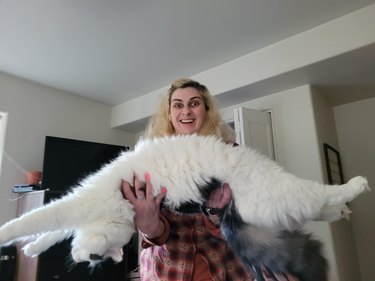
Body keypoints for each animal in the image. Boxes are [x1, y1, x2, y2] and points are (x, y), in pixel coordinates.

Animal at [0, 135, 370, 278]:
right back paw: (344, 209)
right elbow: (52, 232)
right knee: (314, 205)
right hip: (264, 206)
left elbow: (37, 220)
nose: (84, 260)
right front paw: (32, 249)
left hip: (270, 196)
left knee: (316, 193)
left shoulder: (82, 201)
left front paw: (7, 235)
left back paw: (354, 186)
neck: (117, 216)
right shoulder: (83, 208)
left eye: (97, 257)